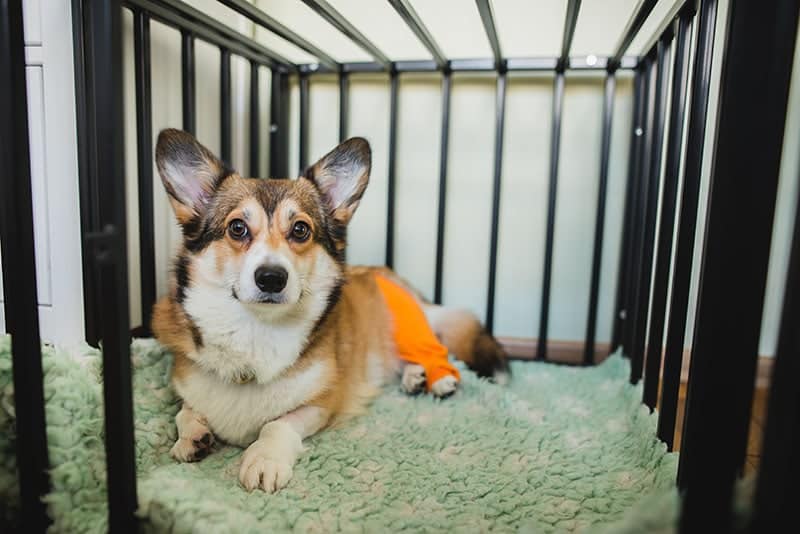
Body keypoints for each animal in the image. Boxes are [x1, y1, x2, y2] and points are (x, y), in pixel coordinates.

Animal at [153, 130, 510, 494]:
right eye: (237, 227)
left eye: (300, 230)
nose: (272, 278)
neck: (256, 331)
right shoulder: (187, 386)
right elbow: (184, 412)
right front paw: (192, 437)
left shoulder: (322, 403)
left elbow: (276, 425)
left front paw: (264, 460)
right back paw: (413, 378)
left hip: (408, 328)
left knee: (432, 351)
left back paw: (437, 380)